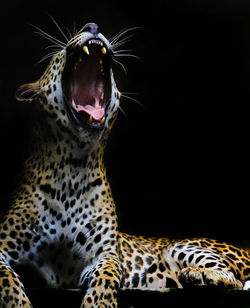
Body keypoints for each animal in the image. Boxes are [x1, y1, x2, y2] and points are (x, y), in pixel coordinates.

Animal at [0, 21, 250, 308]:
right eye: (57, 56)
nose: (92, 25)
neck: (73, 164)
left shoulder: (104, 254)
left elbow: (106, 276)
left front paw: (98, 303)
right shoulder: (4, 248)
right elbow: (6, 279)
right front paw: (18, 303)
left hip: (183, 246)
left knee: (234, 279)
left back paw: (198, 275)